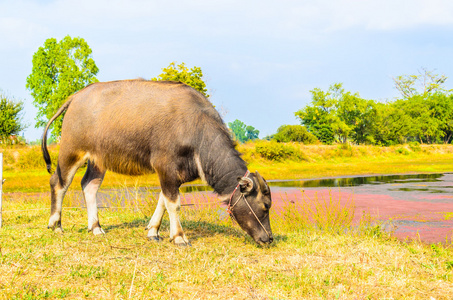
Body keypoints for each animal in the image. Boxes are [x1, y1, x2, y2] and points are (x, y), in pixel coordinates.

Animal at [41, 79, 272, 246]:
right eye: (265, 205)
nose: (269, 238)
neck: (196, 130)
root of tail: (76, 97)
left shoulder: (173, 174)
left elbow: (163, 201)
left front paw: (153, 231)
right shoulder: (165, 167)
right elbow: (173, 204)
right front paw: (179, 237)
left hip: (98, 159)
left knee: (89, 185)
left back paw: (96, 227)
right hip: (71, 151)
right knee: (59, 183)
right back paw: (56, 224)